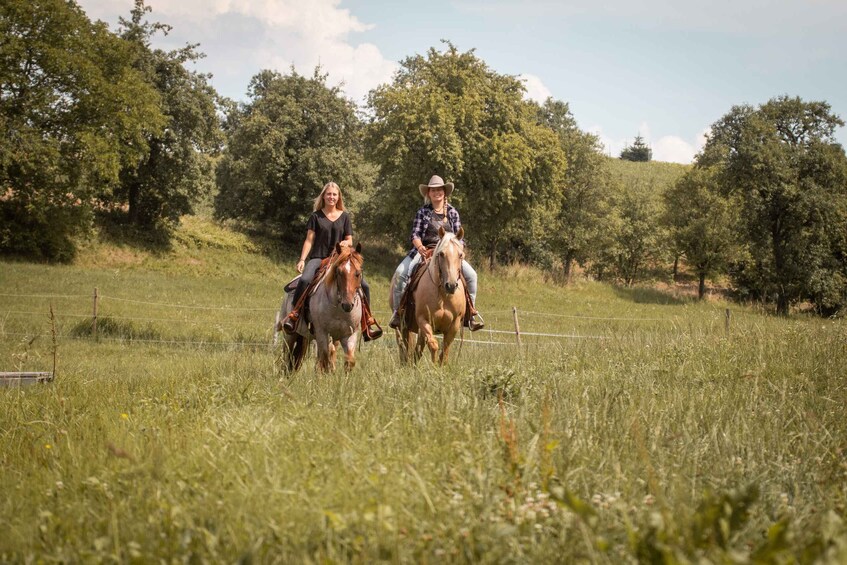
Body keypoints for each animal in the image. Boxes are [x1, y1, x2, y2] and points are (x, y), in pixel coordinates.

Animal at [282, 241, 364, 370]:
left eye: (358, 273)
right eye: (339, 272)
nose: (347, 304)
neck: (338, 310)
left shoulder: (349, 334)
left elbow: (349, 361)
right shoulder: (322, 333)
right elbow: (325, 361)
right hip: (291, 334)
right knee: (287, 355)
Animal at [392, 226, 470, 364]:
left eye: (460, 255)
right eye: (441, 254)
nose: (451, 285)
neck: (443, 295)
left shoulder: (455, 323)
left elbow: (445, 349)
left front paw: (440, 365)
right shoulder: (423, 320)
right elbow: (433, 345)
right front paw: (433, 367)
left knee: (417, 348)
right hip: (402, 325)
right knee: (403, 345)